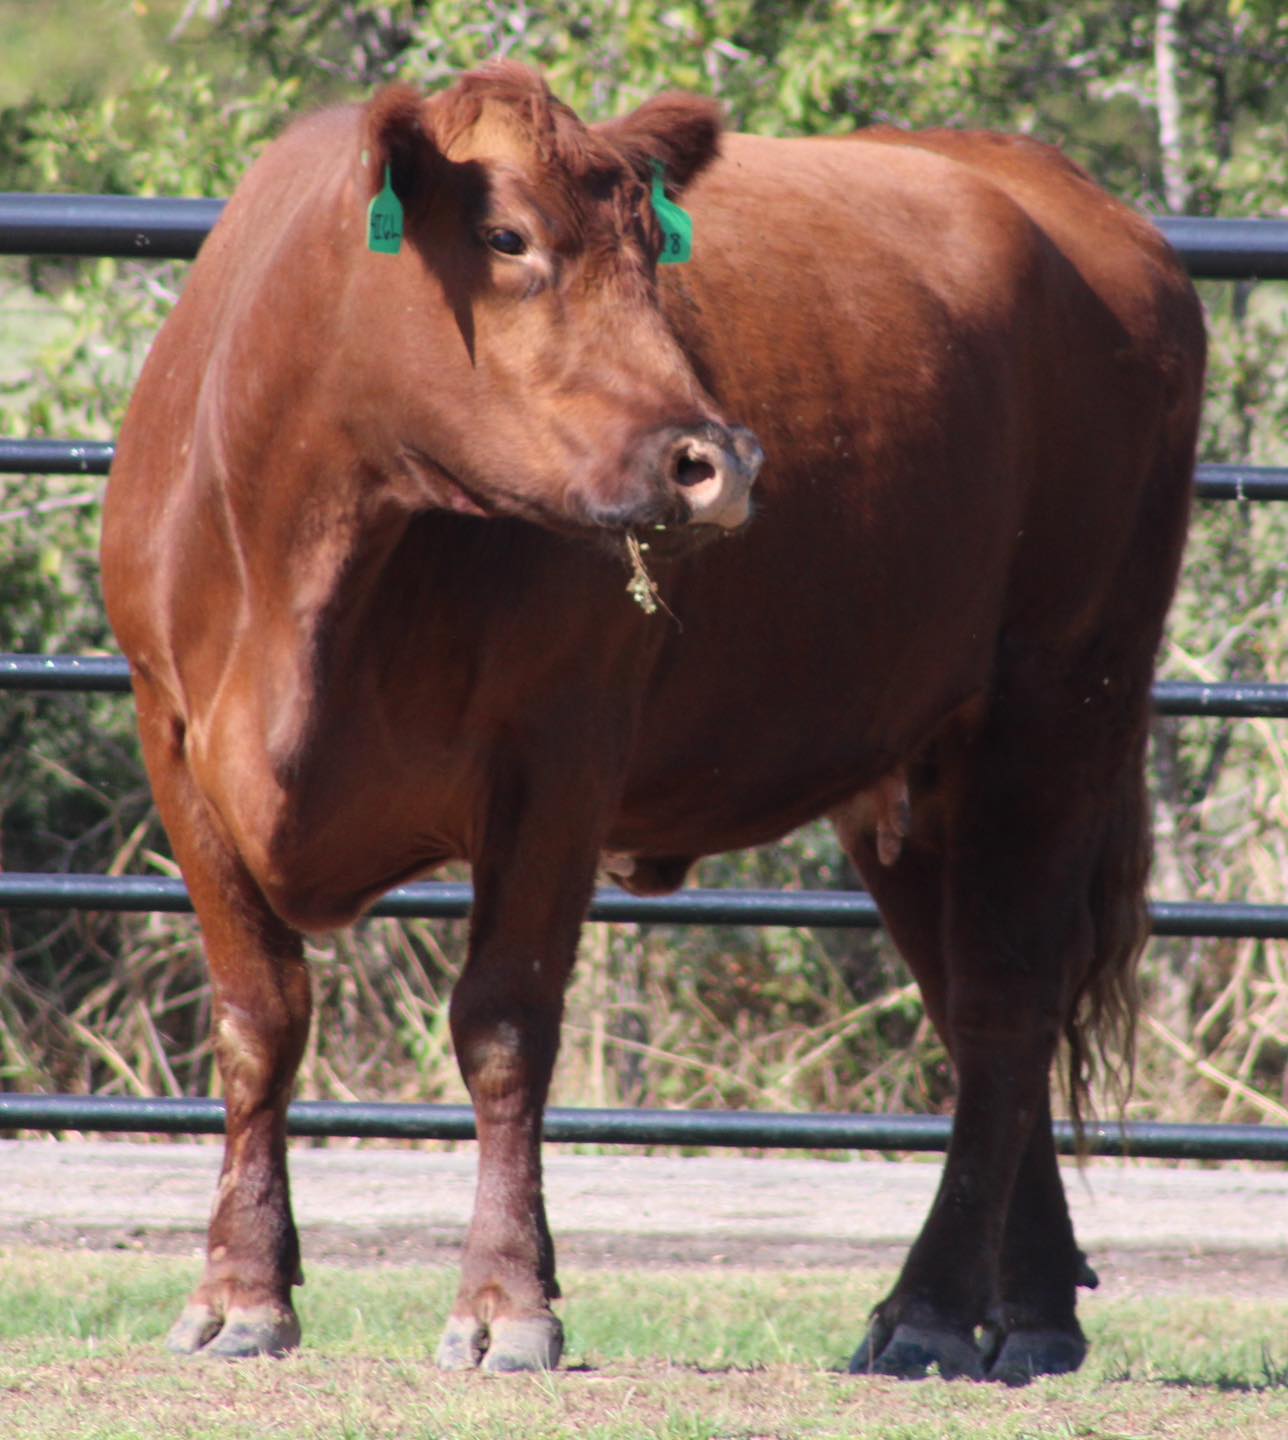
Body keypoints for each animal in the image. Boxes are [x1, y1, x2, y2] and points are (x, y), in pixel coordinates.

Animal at [103, 59, 1210, 1382]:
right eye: (505, 237)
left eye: (649, 250)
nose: (718, 460)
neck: (308, 559)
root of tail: (1066, 196)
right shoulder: (176, 745)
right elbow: (258, 1019)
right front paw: (239, 1292)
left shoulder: (557, 756)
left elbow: (503, 1025)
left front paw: (505, 1302)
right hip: (919, 767)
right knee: (975, 1006)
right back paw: (1032, 1304)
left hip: (1061, 701)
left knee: (1002, 1003)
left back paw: (931, 1308)